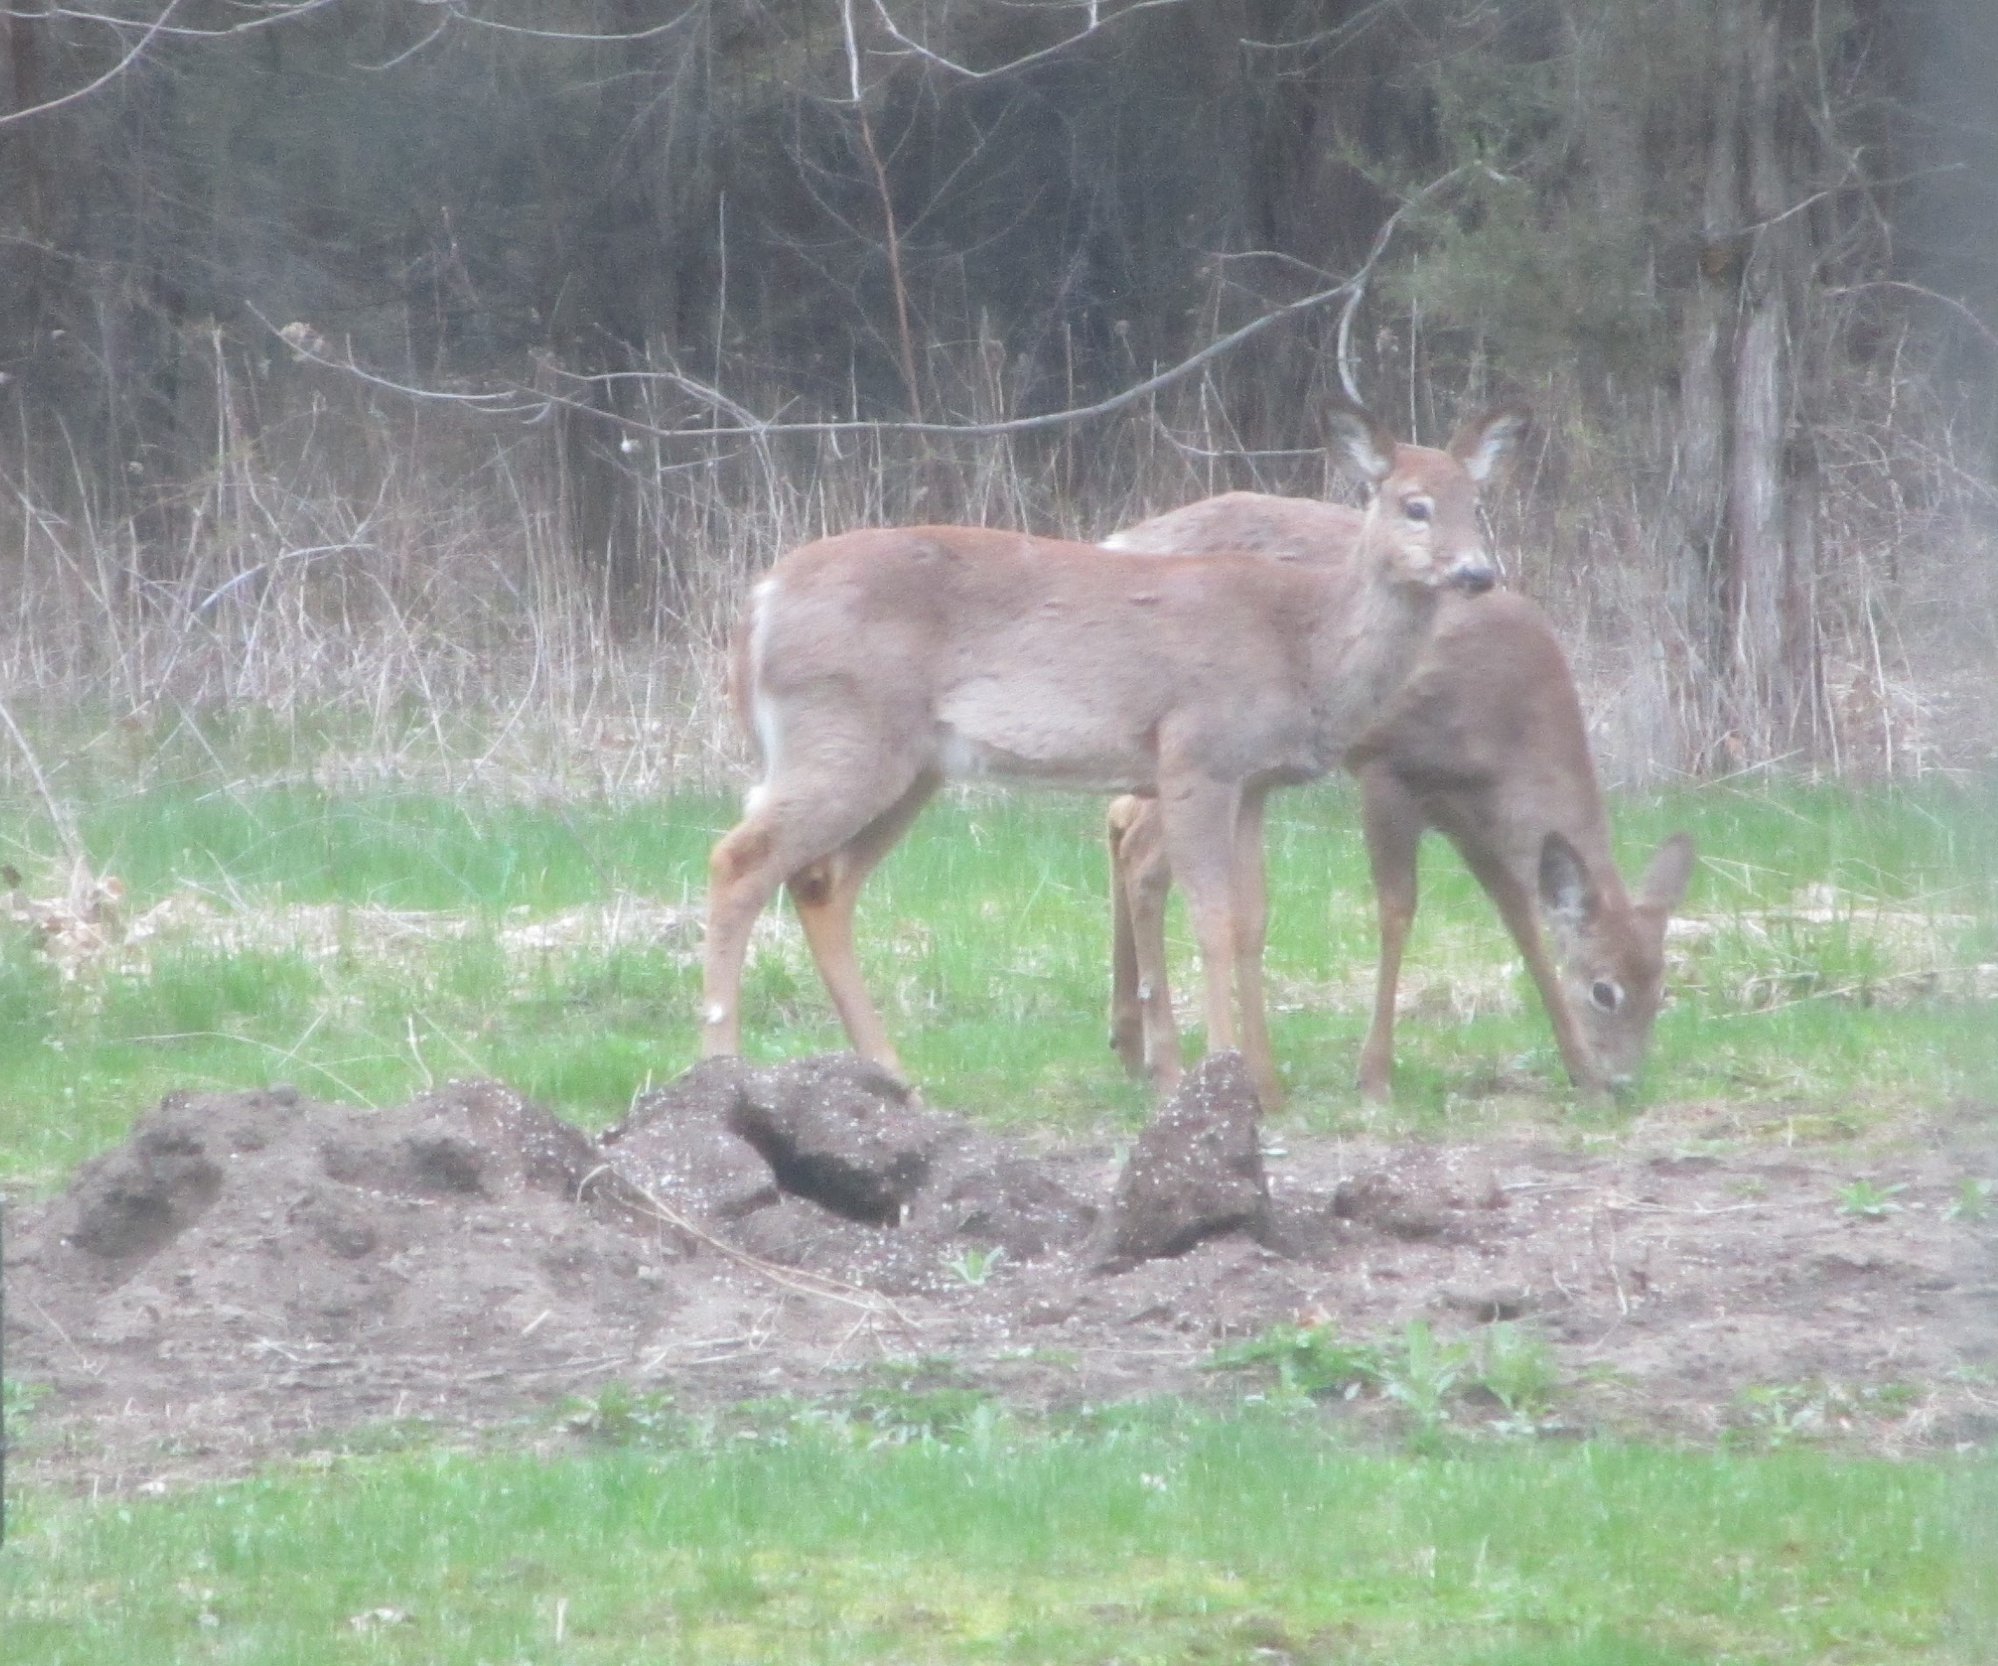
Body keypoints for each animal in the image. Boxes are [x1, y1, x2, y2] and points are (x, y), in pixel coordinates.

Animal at [703, 401, 1526, 1102]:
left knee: (822, 883)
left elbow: (1253, 922)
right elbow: (1211, 918)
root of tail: (757, 603)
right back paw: (720, 1068)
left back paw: (892, 1075)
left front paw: (1267, 1086)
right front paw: (1222, 1075)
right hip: (844, 733)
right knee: (738, 860)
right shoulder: (1195, 751)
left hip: (910, 766)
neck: (1302, 643)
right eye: (1413, 505)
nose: (1477, 573)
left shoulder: (1253, 781)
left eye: (1477, 503)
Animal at [1102, 489, 1694, 1102]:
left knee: (1120, 819)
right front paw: (1375, 1076)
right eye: (1605, 990)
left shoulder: (1466, 808)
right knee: (1143, 854)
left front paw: (1580, 1072)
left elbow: (1521, 916)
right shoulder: (1389, 767)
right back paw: (1163, 1063)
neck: (1510, 724)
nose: (1625, 1082)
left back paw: (1128, 1042)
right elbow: (1396, 910)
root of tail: (1122, 539)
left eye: (1662, 988)